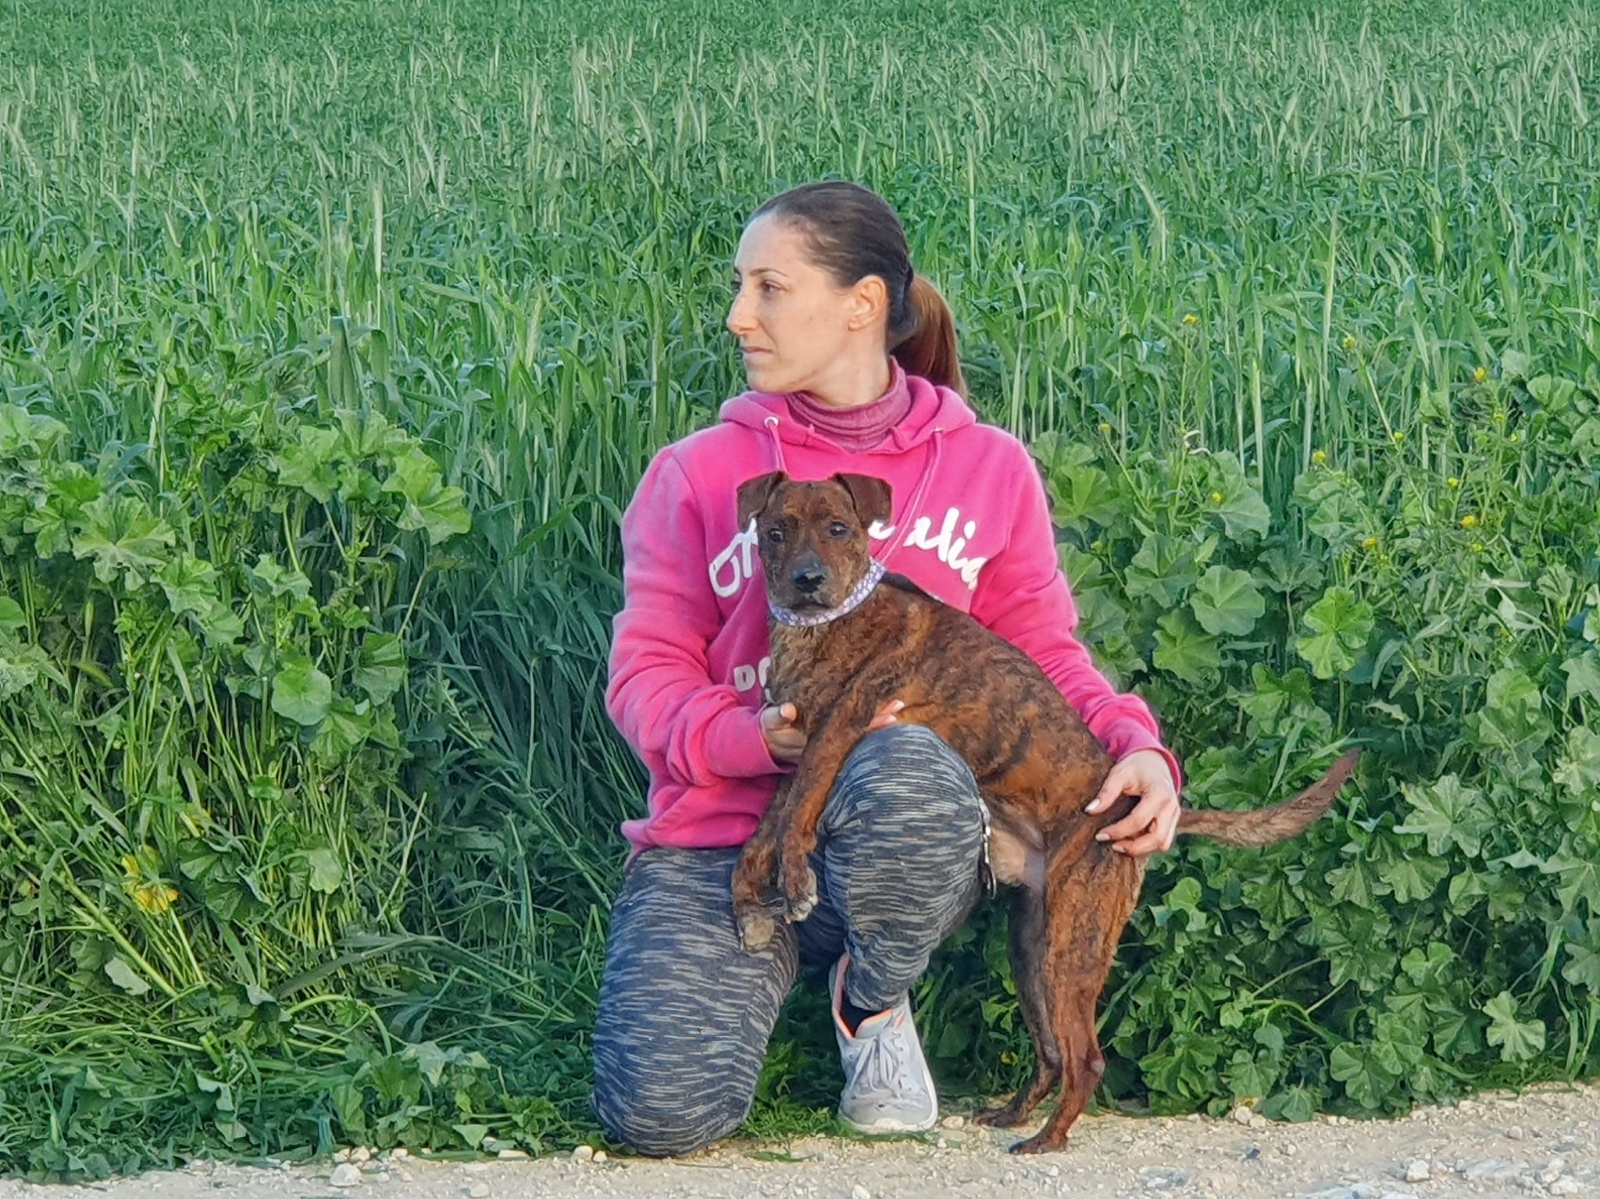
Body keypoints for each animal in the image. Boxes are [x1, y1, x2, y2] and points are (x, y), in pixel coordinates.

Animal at [729, 470, 1359, 1155]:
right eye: (776, 532)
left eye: (839, 528)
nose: (807, 580)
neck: (827, 623)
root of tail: (1125, 809)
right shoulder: (795, 743)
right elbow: (764, 830)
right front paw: (749, 900)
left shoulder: (839, 731)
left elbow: (797, 816)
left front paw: (793, 880)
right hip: (1032, 949)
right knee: (1053, 1053)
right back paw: (1013, 1116)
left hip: (1071, 949)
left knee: (1086, 1059)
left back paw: (1046, 1140)